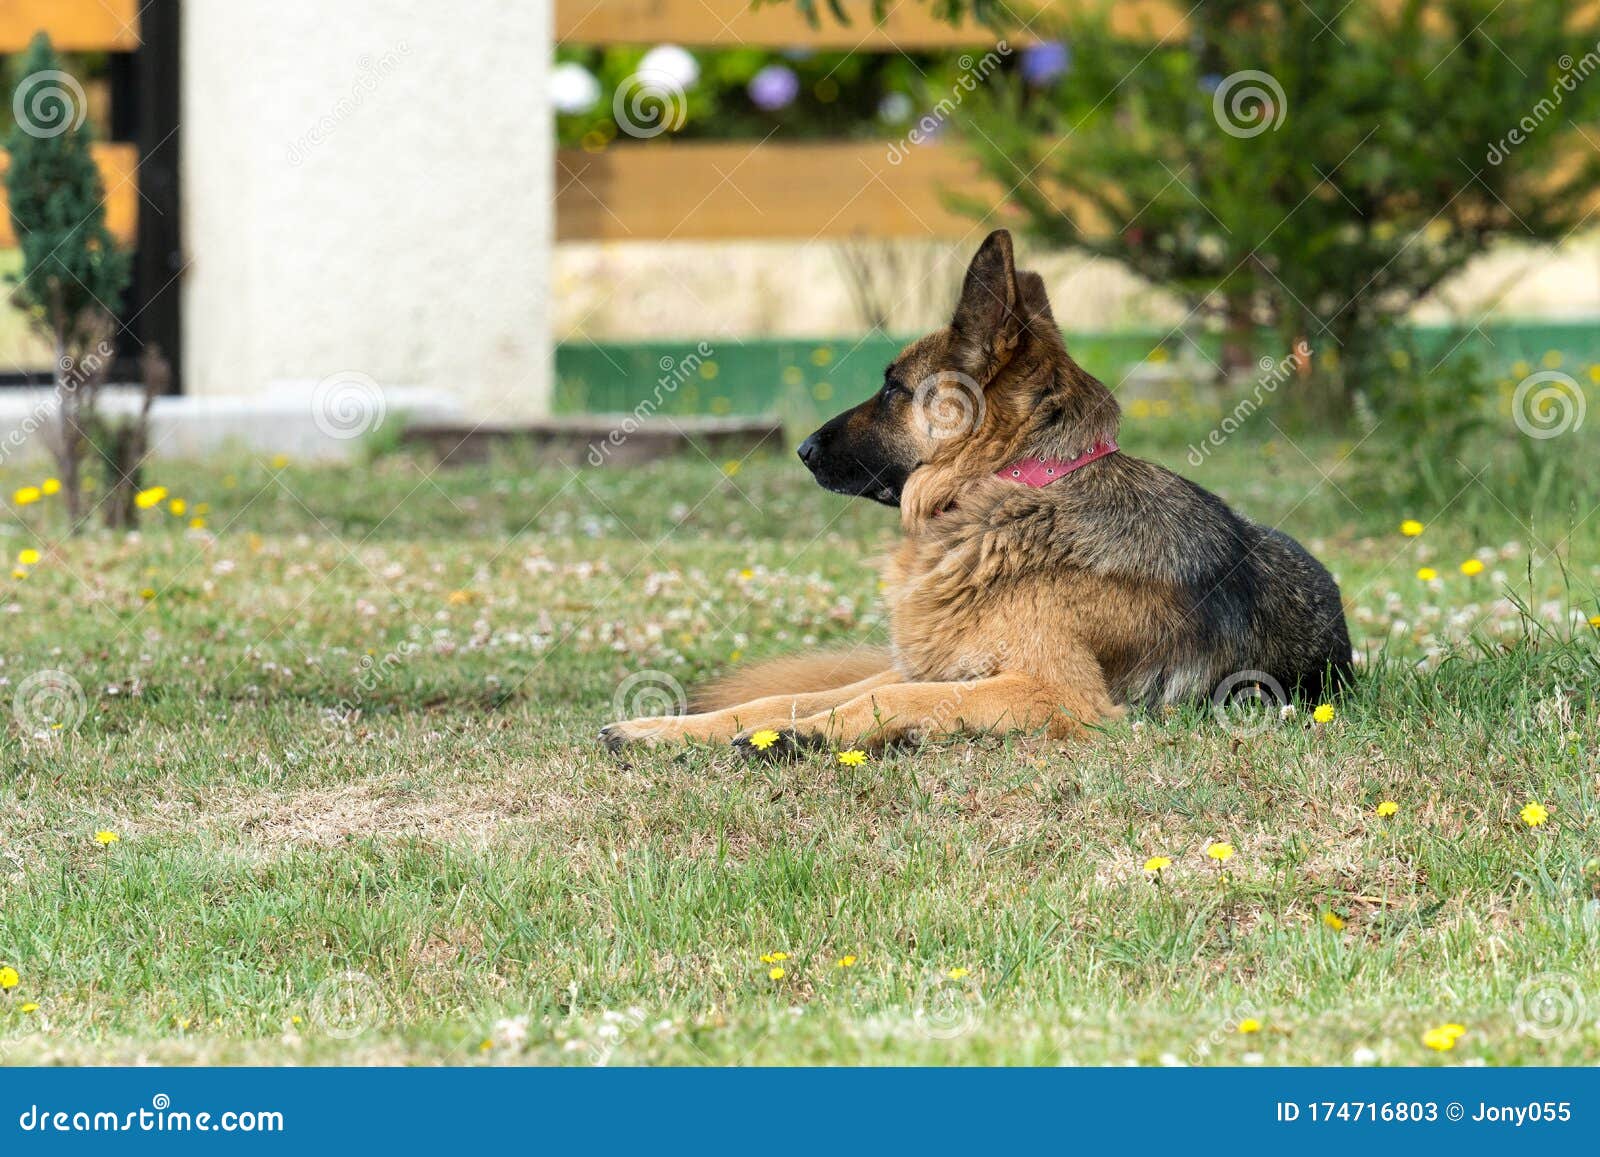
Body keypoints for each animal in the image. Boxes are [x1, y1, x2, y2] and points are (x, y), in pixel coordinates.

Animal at [601, 230, 1350, 755]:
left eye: (894, 388)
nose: (803, 449)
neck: (1009, 489)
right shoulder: (928, 667)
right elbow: (782, 701)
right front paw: (662, 728)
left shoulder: (1054, 694)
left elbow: (877, 703)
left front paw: (809, 735)